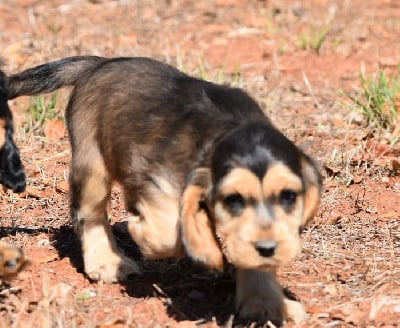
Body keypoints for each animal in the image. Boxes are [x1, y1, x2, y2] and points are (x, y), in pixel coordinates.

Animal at [5, 57, 322, 326]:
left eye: (289, 196)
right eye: (233, 199)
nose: (268, 248)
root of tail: (101, 62)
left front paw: (266, 304)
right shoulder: (153, 175)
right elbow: (169, 230)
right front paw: (158, 235)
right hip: (92, 164)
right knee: (89, 214)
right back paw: (107, 262)